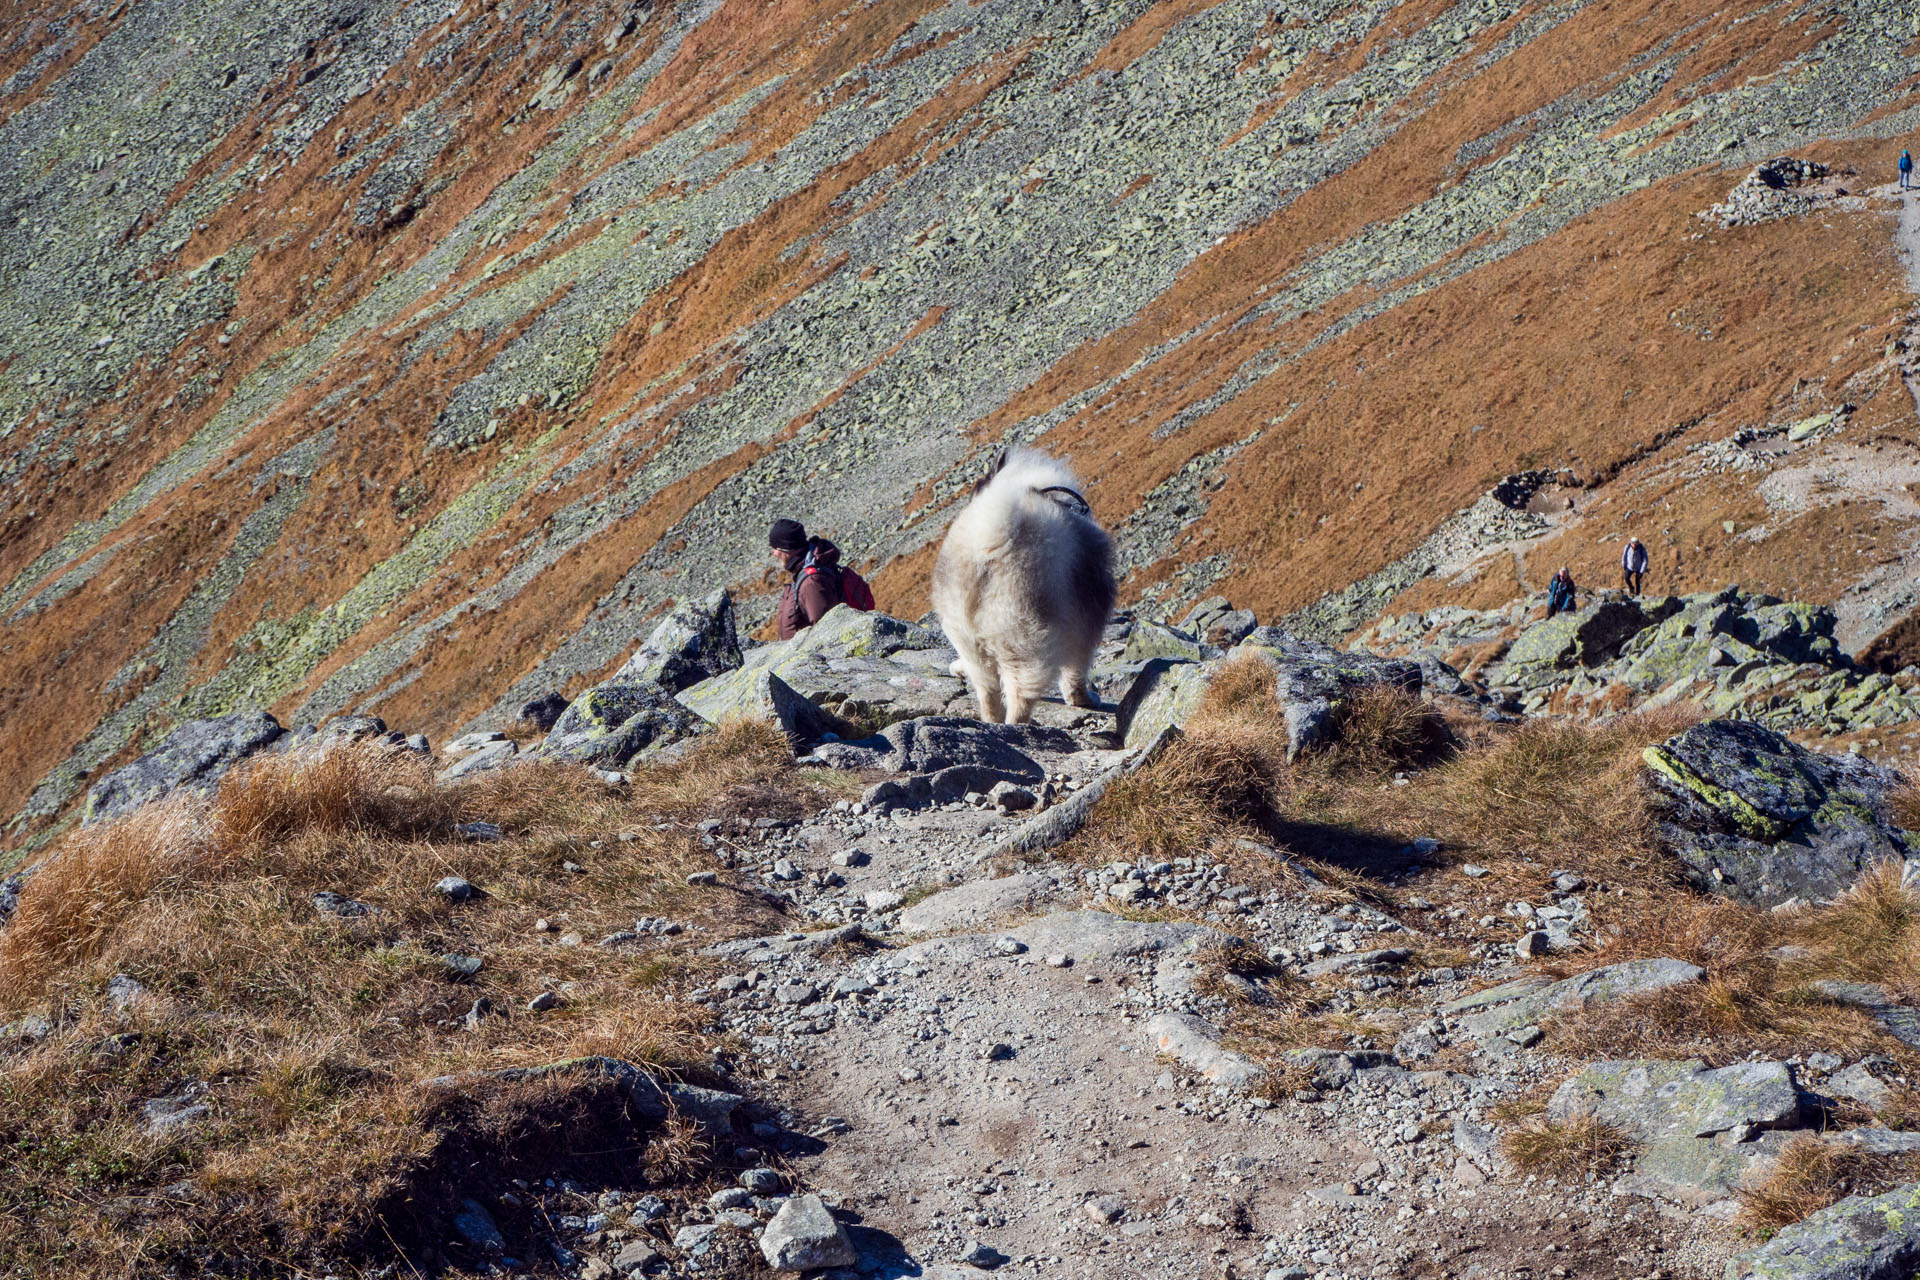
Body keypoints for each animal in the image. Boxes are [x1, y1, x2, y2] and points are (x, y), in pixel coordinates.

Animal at [933, 445, 1121, 725]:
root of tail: (988, 543)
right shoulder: (1084, 621)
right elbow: (1076, 669)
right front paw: (1084, 699)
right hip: (1023, 637)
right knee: (1020, 693)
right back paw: (1018, 725)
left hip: (968, 639)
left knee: (988, 690)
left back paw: (992, 722)